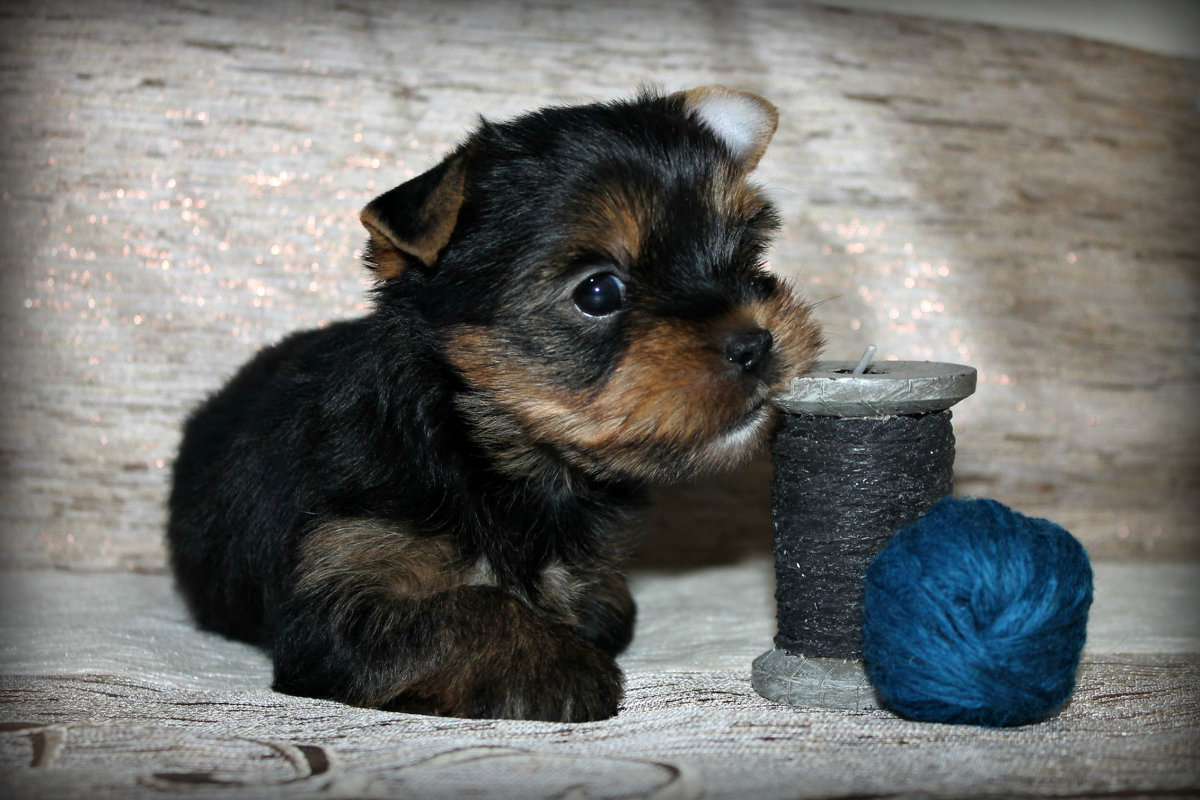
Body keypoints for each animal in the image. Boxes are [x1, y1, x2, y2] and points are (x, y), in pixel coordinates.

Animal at [169, 84, 820, 724]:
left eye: (744, 253)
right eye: (598, 291)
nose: (754, 343)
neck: (486, 451)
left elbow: (599, 606)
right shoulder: (339, 584)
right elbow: (468, 605)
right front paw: (562, 665)